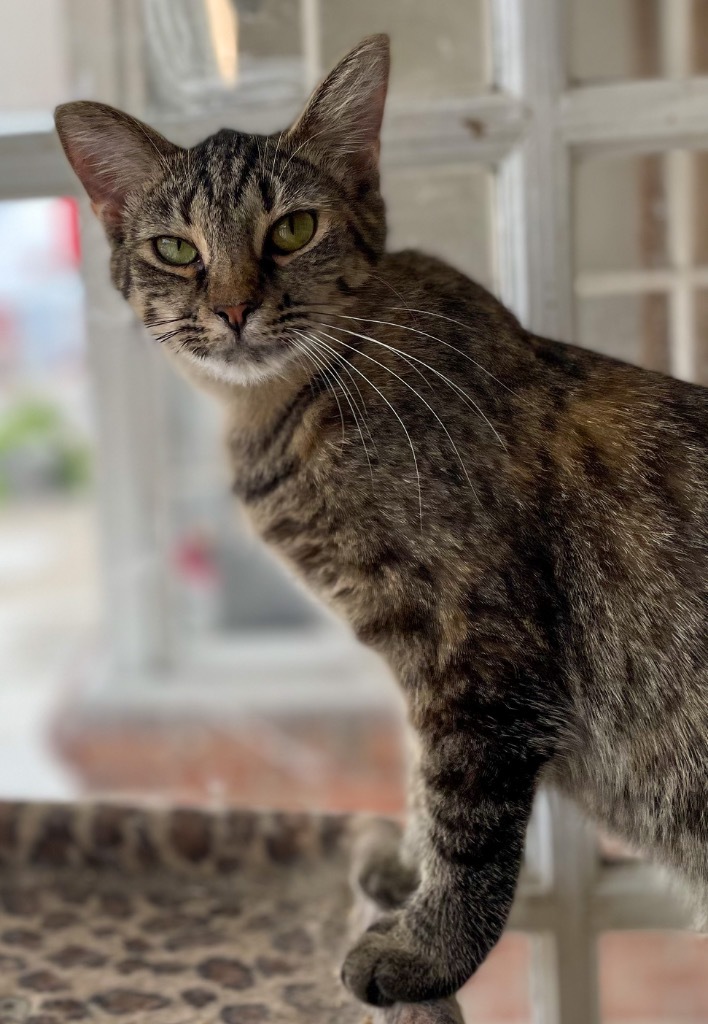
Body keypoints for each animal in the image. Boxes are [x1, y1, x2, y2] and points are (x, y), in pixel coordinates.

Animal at [55, 34, 708, 1007]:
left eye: (292, 229)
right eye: (176, 248)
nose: (234, 308)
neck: (290, 412)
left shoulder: (476, 648)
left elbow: (466, 821)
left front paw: (428, 954)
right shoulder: (427, 661)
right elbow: (421, 779)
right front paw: (405, 868)